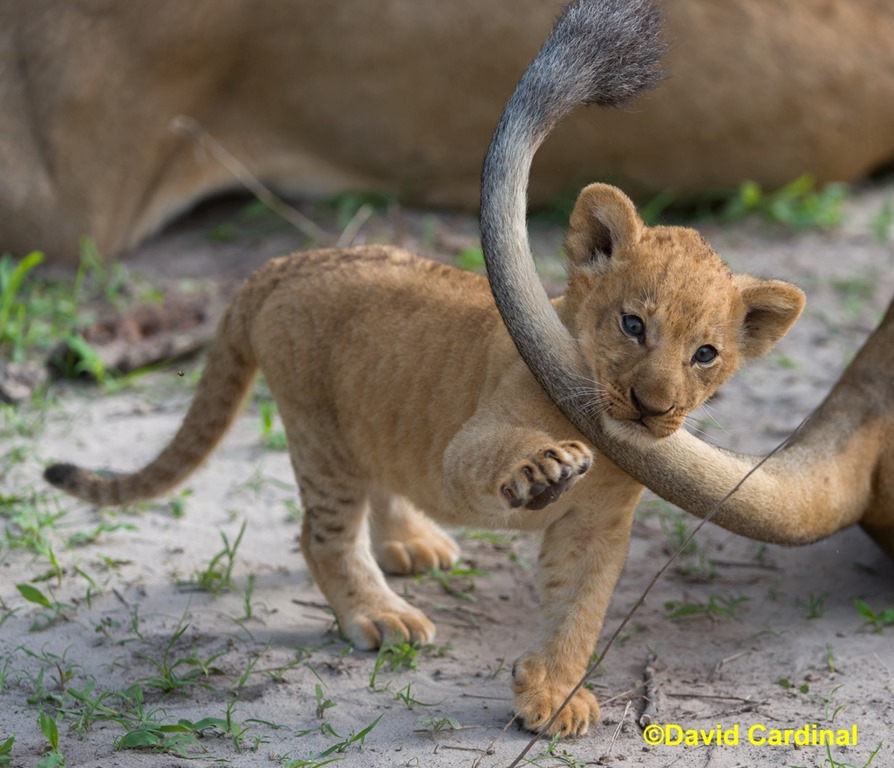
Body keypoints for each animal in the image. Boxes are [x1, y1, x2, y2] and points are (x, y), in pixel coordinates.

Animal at [42, 0, 806, 735]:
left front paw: (554, 695)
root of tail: (286, 262)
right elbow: (492, 457)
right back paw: (379, 616)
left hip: (363, 421)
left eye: (705, 354)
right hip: (318, 434)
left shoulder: (599, 529)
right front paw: (542, 468)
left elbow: (579, 610)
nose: (655, 407)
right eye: (633, 325)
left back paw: (411, 543)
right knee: (322, 537)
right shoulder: (468, 446)